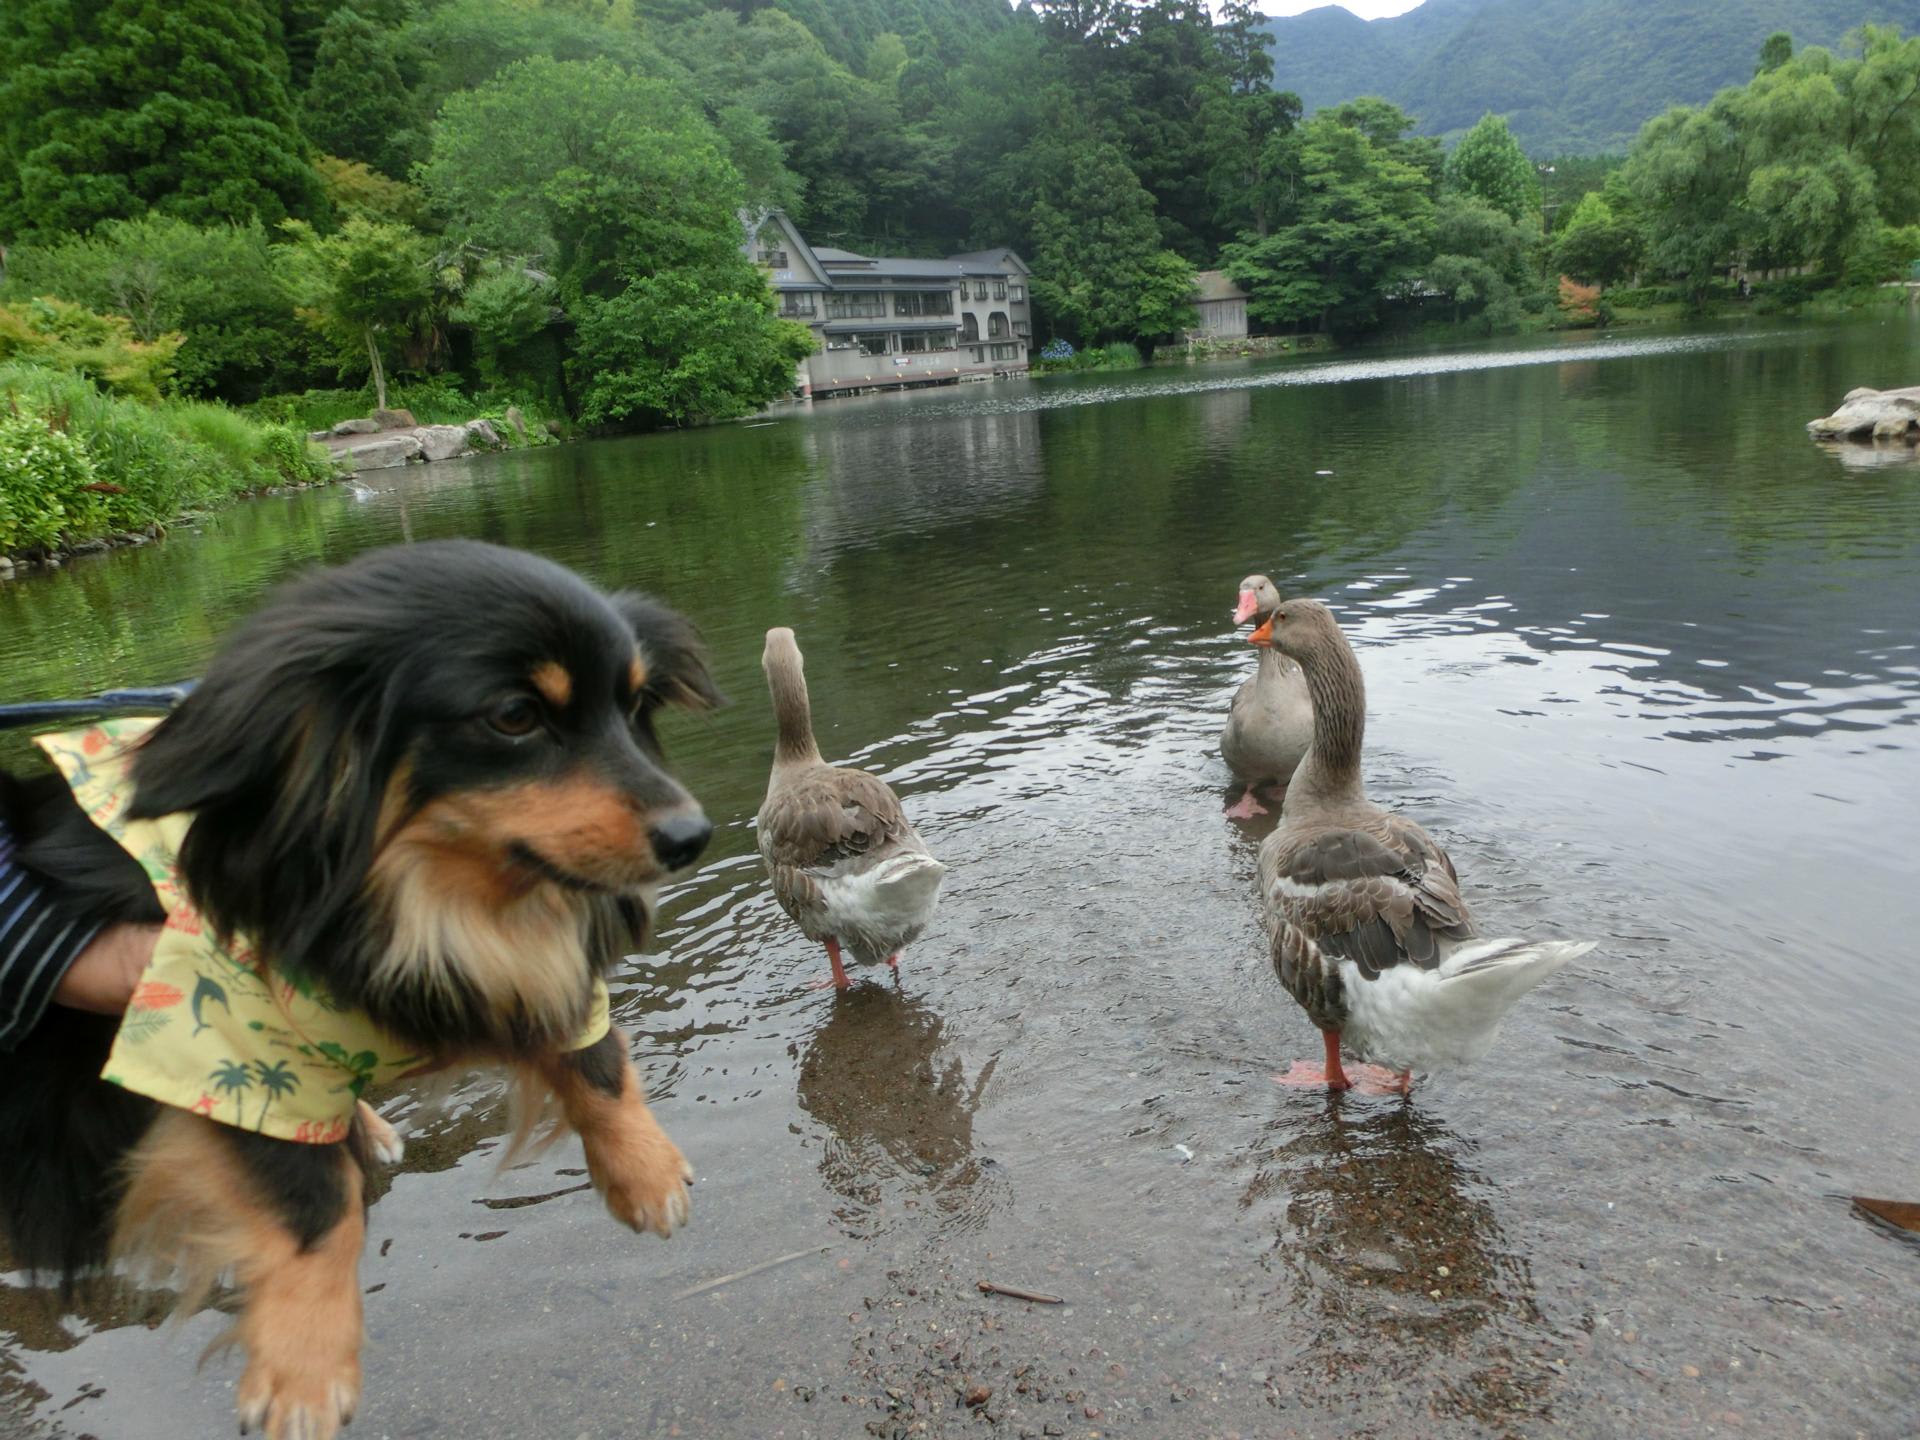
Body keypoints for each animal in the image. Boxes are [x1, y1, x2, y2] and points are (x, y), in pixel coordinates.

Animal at [0, 545, 721, 1440]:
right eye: (515, 715)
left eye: (633, 706)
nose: (694, 837)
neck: (426, 895)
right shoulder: (227, 1045)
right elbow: (313, 1200)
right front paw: (305, 1369)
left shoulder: (511, 969)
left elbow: (596, 1055)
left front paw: (644, 1173)